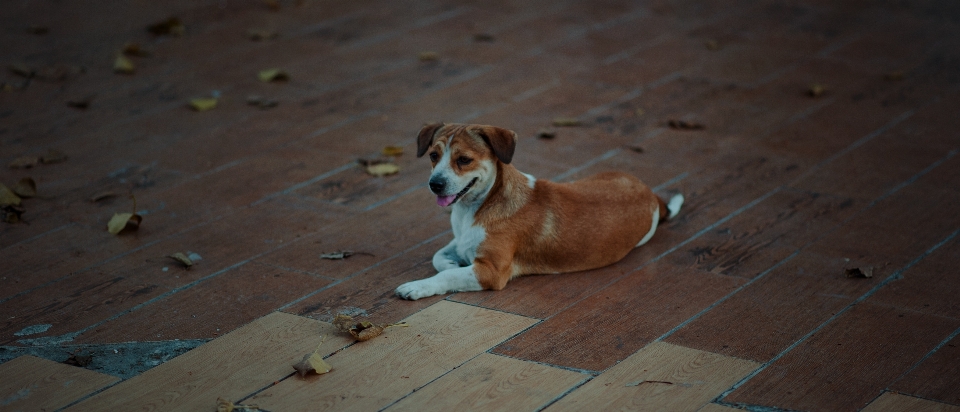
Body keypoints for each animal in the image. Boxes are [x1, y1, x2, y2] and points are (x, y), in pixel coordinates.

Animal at [392, 122, 684, 300]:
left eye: (464, 160)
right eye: (433, 155)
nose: (435, 184)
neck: (478, 205)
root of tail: (650, 194)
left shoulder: (491, 272)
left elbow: (447, 275)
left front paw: (418, 286)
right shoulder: (461, 242)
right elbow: (439, 257)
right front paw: (450, 262)